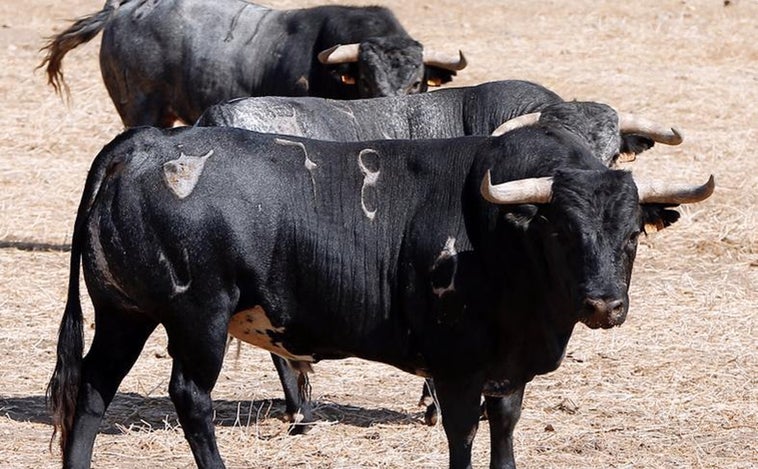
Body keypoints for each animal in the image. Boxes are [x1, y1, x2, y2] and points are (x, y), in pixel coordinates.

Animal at [47, 124, 712, 468]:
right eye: (562, 232)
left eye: (632, 235)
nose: (604, 306)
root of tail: (143, 144)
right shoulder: (456, 369)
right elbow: (462, 438)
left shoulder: (508, 373)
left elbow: (504, 433)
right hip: (198, 317)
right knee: (190, 397)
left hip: (123, 314)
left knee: (93, 390)